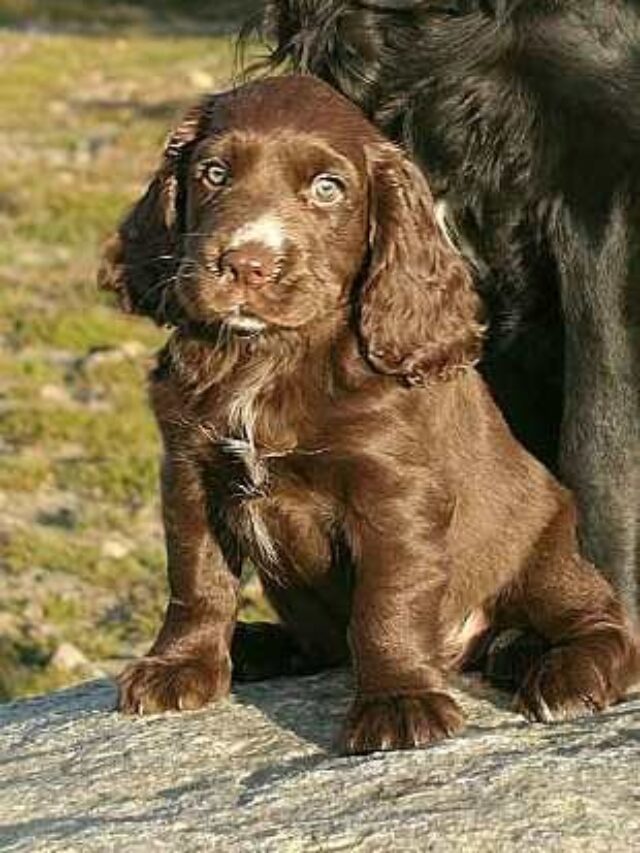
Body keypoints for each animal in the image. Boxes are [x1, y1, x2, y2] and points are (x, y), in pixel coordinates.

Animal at [100, 73, 640, 752]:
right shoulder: (190, 470)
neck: (269, 356)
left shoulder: (394, 492)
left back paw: (563, 671)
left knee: (602, 622)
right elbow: (197, 578)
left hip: (544, 547)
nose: (246, 265)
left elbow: (389, 599)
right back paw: (257, 646)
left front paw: (399, 702)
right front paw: (179, 667)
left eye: (328, 188)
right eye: (214, 174)